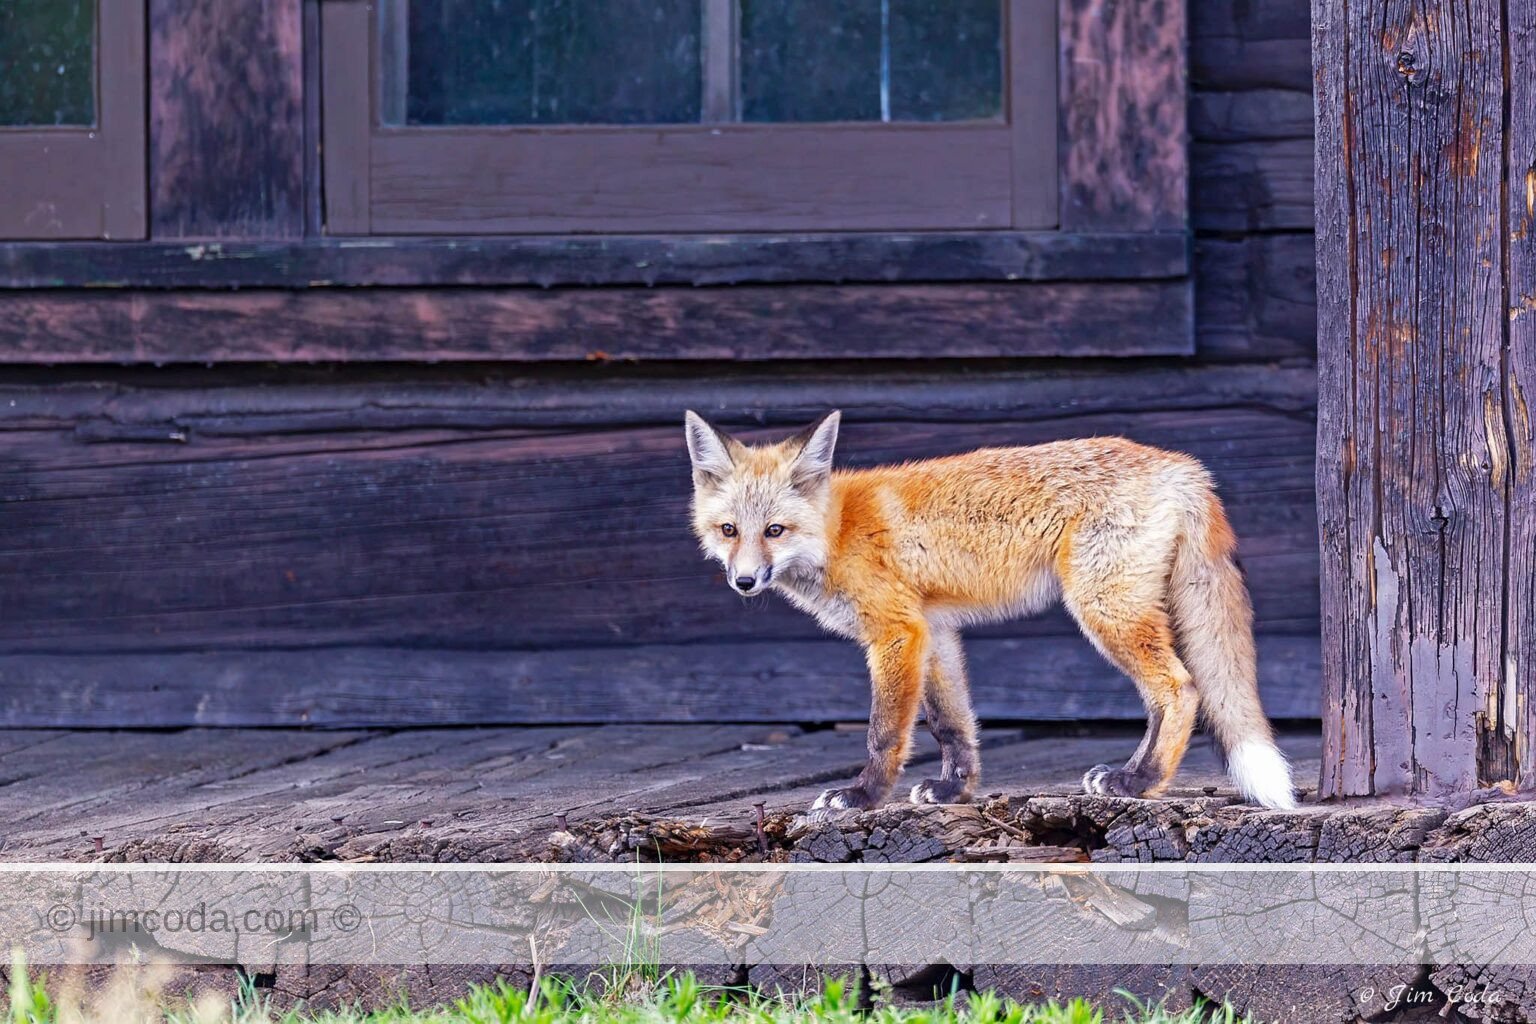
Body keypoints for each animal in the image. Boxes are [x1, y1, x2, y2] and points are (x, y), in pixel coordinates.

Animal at [684, 410, 1296, 813]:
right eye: (729, 530)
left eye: (775, 531)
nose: (743, 581)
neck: (837, 532)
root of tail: (1184, 466)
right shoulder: (933, 630)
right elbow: (952, 724)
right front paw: (953, 790)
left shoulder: (896, 632)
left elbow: (885, 732)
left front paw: (862, 796)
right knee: (1161, 698)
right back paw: (1130, 775)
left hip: (1103, 608)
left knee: (1181, 689)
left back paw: (1140, 783)